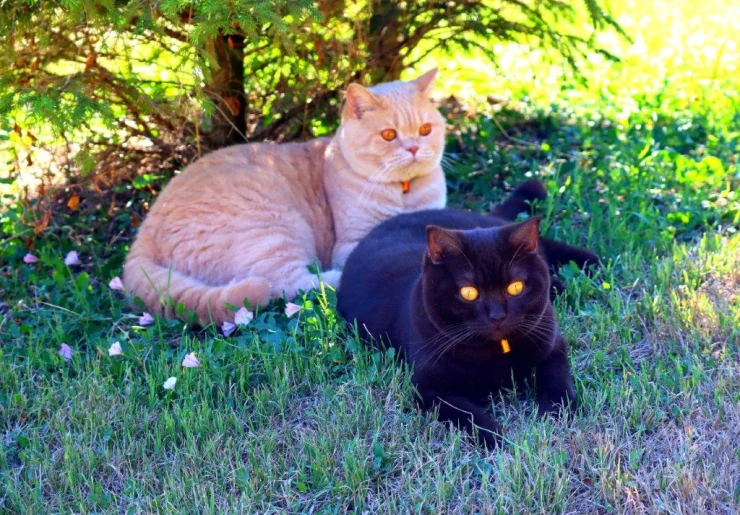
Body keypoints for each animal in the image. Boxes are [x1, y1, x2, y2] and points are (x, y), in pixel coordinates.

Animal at [123, 69, 447, 324]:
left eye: (425, 130)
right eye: (389, 135)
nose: (414, 148)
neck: (405, 191)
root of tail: (142, 237)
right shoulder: (353, 241)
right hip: (273, 231)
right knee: (291, 284)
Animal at [336, 180, 598, 447]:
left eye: (515, 287)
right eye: (469, 292)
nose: (497, 316)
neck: (498, 354)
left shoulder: (552, 345)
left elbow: (558, 380)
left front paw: (556, 412)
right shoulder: (429, 389)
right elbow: (466, 414)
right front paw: (495, 436)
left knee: (545, 243)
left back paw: (590, 263)